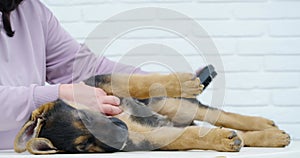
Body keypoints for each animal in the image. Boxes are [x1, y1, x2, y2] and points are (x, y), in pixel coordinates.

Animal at [14, 70, 290, 154]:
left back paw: (264, 125)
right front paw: (221, 140)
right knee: (206, 126)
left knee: (218, 115)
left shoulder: (105, 82)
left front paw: (180, 80)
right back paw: (263, 136)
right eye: (83, 145)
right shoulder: (148, 137)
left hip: (170, 105)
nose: (122, 137)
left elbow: (137, 81)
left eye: (87, 119)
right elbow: (187, 137)